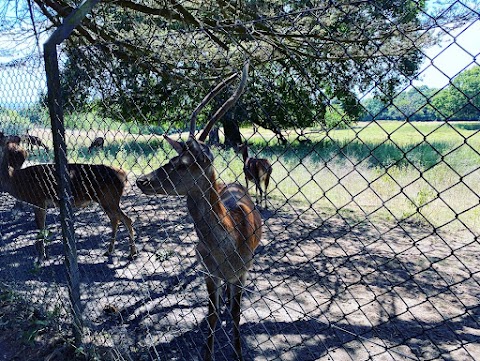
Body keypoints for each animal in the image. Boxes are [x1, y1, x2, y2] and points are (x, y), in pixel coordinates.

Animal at [0, 132, 137, 262]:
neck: (15, 180)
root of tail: (124, 175)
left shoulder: (39, 201)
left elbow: (41, 229)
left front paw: (41, 257)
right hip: (106, 200)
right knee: (115, 219)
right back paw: (109, 251)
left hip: (109, 198)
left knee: (126, 219)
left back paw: (132, 254)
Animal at [137, 62, 260, 360]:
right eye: (171, 158)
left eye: (182, 164)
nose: (141, 180)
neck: (229, 246)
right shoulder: (207, 270)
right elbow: (212, 315)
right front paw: (208, 353)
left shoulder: (243, 270)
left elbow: (237, 314)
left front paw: (238, 353)